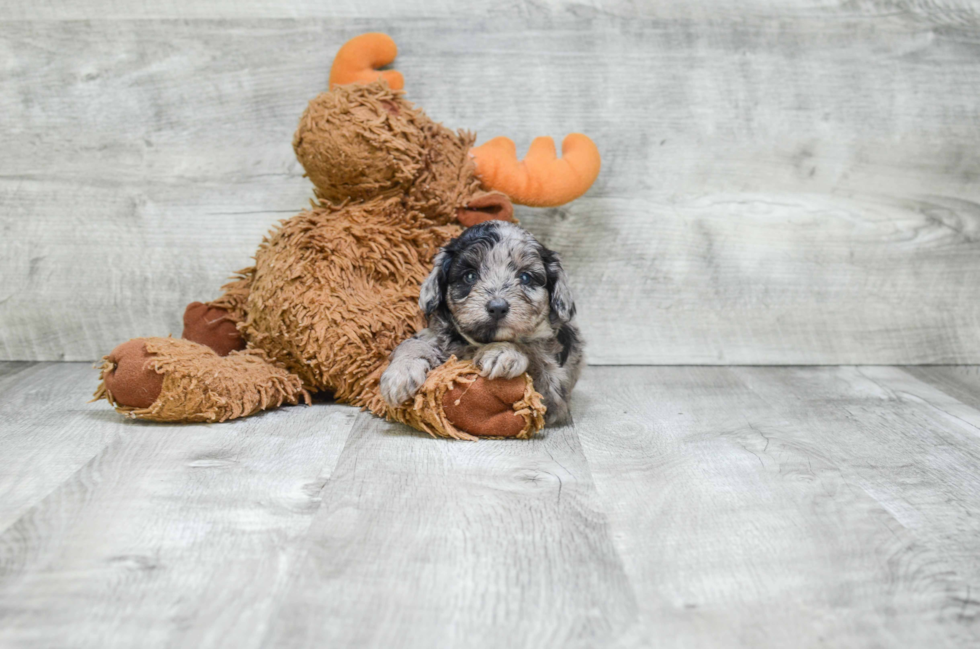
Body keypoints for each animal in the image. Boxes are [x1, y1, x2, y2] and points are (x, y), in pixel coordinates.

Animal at [380, 220, 580, 428]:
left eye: (525, 277)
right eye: (470, 276)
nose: (498, 307)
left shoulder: (554, 391)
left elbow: (532, 350)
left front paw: (503, 352)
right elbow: (412, 343)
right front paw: (401, 372)